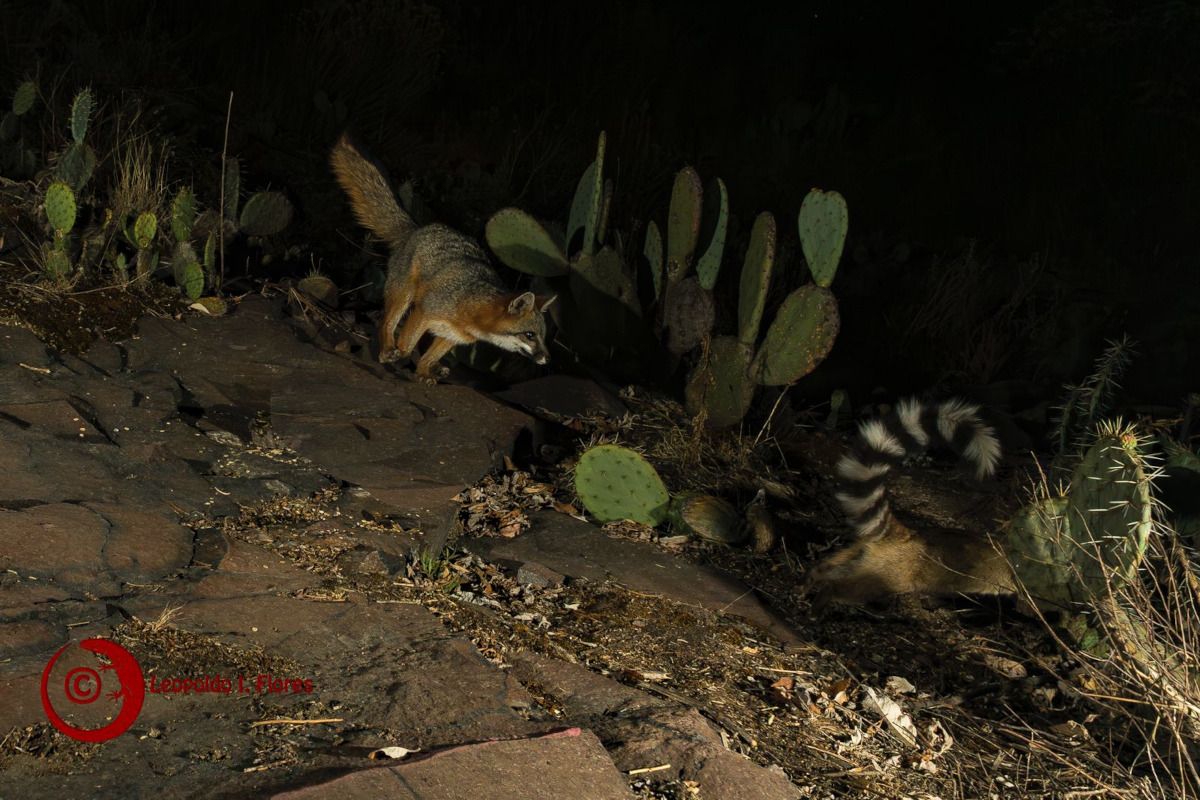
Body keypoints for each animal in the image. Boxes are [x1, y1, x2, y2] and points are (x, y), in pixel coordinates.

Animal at [330, 133, 556, 384]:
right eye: (530, 335)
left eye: (544, 336)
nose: (548, 359)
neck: (471, 309)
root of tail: (417, 228)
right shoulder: (424, 312)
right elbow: (407, 346)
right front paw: (398, 355)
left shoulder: (453, 336)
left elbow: (428, 356)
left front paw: (424, 372)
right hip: (404, 295)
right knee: (386, 321)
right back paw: (388, 347)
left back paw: (435, 367)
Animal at [805, 398, 1017, 608]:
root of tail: (905, 531)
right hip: (892, 572)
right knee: (855, 587)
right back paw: (826, 595)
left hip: (866, 554)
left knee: (834, 566)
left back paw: (813, 579)